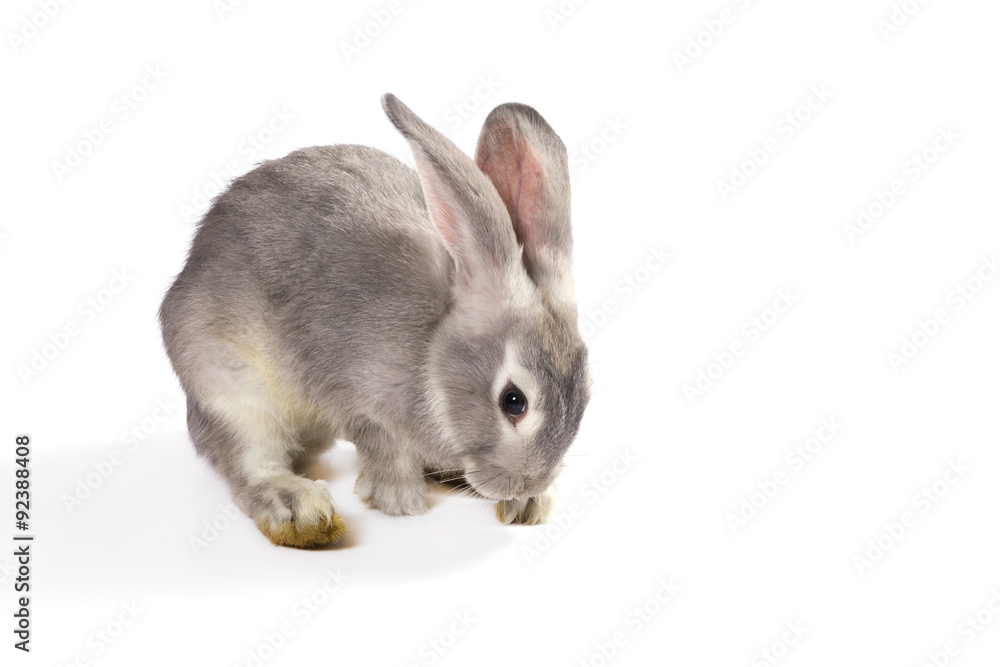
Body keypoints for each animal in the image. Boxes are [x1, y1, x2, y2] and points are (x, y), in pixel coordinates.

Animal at [159, 94, 591, 548]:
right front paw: (399, 501)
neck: (433, 349)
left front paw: (531, 504)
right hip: (228, 387)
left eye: (586, 392)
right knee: (248, 463)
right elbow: (385, 449)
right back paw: (300, 510)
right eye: (514, 402)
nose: (528, 482)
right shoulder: (359, 399)